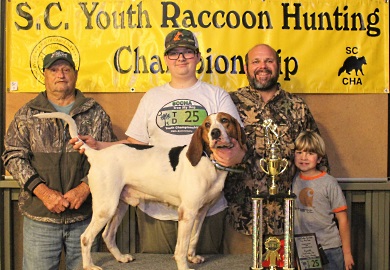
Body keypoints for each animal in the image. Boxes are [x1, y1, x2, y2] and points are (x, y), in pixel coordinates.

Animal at [35, 110, 245, 268]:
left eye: (224, 121)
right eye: (207, 125)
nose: (215, 133)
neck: (208, 162)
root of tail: (98, 155)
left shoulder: (200, 212)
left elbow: (193, 238)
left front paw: (192, 257)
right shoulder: (187, 212)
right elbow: (181, 247)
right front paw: (184, 265)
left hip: (119, 206)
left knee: (107, 235)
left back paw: (120, 258)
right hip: (106, 208)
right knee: (86, 238)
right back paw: (89, 266)